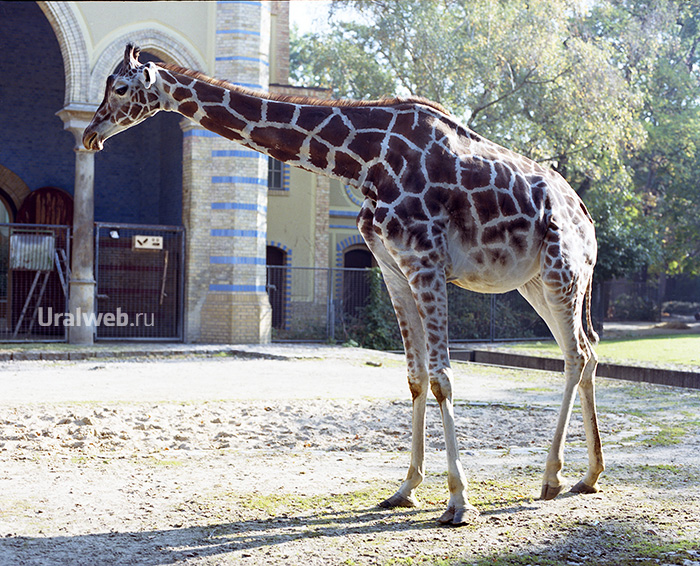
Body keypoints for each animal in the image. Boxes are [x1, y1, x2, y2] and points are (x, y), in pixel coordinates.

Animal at [85, 44, 604, 528]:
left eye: (121, 88)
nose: (91, 134)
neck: (363, 162)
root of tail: (586, 215)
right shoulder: (392, 268)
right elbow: (415, 378)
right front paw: (406, 489)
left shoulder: (426, 262)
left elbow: (442, 378)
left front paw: (458, 501)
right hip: (534, 283)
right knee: (584, 352)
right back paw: (586, 476)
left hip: (563, 272)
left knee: (577, 354)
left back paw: (553, 476)